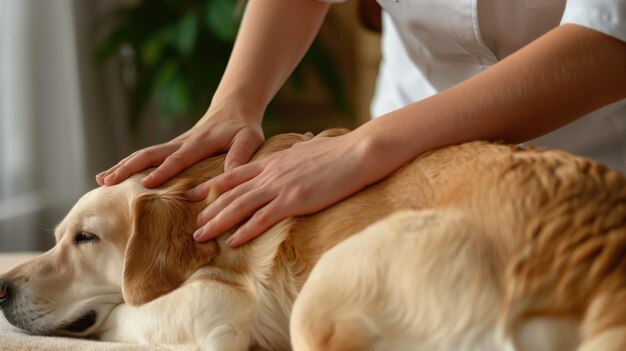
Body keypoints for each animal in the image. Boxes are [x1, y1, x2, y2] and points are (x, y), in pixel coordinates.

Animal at [1, 130, 624, 351]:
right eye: (56, 237)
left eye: (86, 238)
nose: (1, 290)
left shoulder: (220, 309)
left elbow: (122, 315)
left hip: (332, 287)